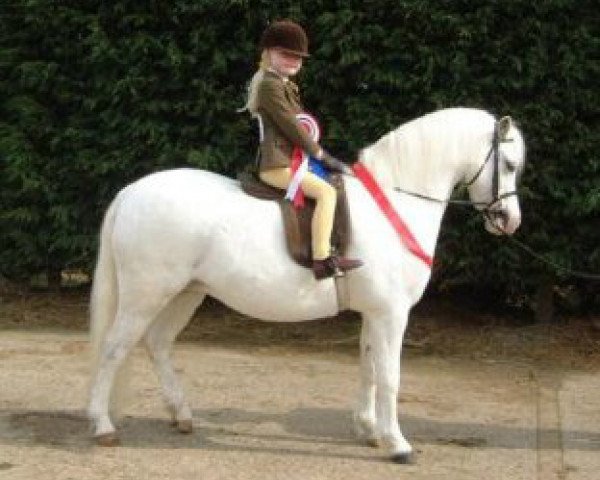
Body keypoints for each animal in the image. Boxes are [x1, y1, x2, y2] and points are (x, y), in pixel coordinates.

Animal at [88, 108, 524, 462]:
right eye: (509, 163)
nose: (510, 220)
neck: (393, 203)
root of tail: (131, 192)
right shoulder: (391, 314)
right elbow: (390, 376)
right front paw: (398, 445)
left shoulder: (374, 313)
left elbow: (368, 367)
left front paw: (369, 431)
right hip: (147, 294)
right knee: (112, 348)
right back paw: (103, 426)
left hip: (185, 294)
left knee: (157, 343)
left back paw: (180, 415)